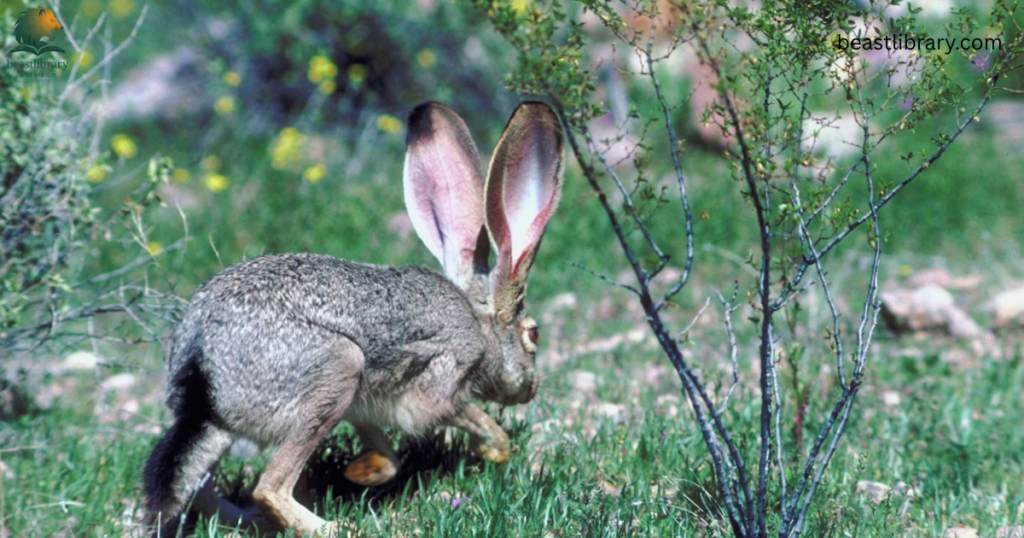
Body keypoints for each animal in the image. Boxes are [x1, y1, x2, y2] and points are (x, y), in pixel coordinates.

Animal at [142, 101, 565, 537]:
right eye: (534, 334)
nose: (530, 388)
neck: (480, 326)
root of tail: (203, 366)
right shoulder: (439, 386)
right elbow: (466, 415)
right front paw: (495, 449)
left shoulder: (363, 408)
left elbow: (386, 451)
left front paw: (362, 472)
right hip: (338, 369)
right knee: (270, 489)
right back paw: (333, 527)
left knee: (199, 488)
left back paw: (250, 520)